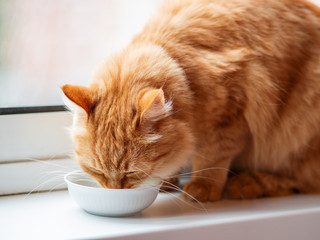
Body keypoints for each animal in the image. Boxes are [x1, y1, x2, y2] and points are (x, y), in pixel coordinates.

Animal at [61, 0, 320, 202]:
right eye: (96, 171)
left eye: (131, 174)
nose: (113, 191)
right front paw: (168, 179)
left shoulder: (229, 116)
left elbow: (212, 156)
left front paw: (202, 186)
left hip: (299, 125)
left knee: (302, 181)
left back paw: (247, 184)